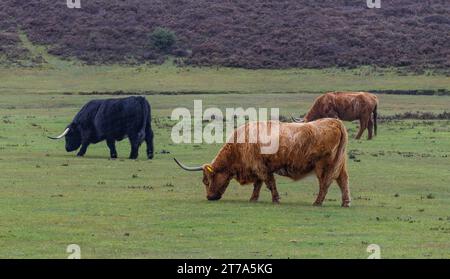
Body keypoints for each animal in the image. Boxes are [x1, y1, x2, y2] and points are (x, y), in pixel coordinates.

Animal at [174, 118, 350, 208]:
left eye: (206, 180)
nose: (209, 197)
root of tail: (334, 121)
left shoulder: (260, 167)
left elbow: (269, 183)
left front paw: (276, 199)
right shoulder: (257, 168)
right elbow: (258, 184)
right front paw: (253, 198)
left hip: (323, 165)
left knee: (325, 183)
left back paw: (317, 202)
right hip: (340, 164)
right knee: (343, 180)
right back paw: (345, 203)